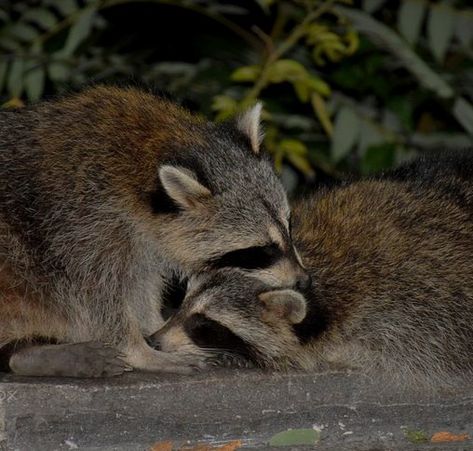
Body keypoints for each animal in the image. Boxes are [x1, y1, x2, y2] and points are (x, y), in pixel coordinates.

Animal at [0, 85, 310, 378]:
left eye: (289, 225)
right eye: (262, 250)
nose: (304, 281)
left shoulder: (136, 238)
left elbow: (142, 283)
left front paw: (157, 328)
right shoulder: (79, 225)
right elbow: (95, 298)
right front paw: (140, 349)